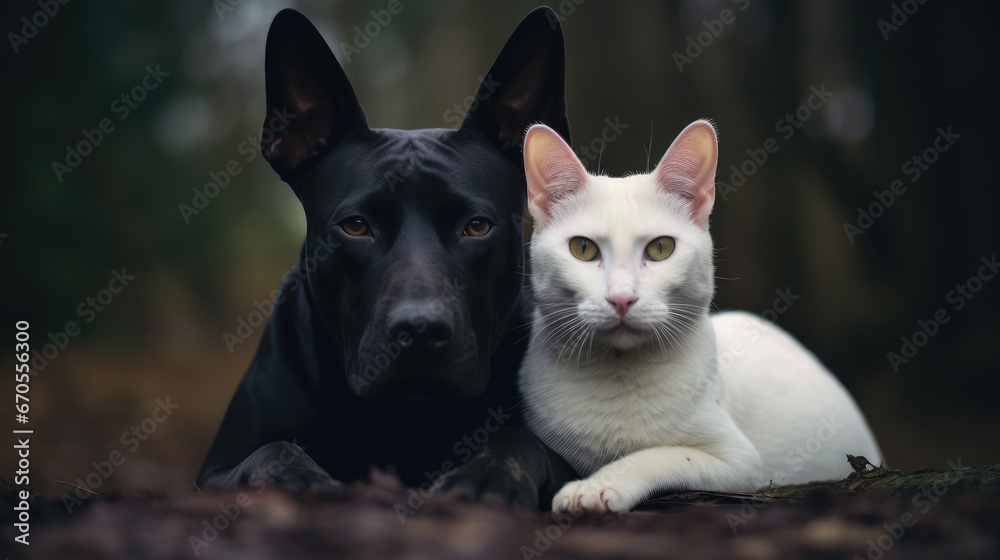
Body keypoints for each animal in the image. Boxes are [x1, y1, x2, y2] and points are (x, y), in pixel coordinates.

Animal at [196, 7, 580, 512]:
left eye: (477, 226)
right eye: (356, 226)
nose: (420, 329)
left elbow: (519, 440)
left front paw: (487, 474)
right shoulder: (216, 468)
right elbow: (269, 450)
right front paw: (293, 475)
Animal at [520, 120, 880, 516]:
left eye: (661, 248)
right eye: (582, 248)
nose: (622, 298)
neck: (618, 372)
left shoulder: (740, 464)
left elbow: (658, 455)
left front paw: (596, 485)